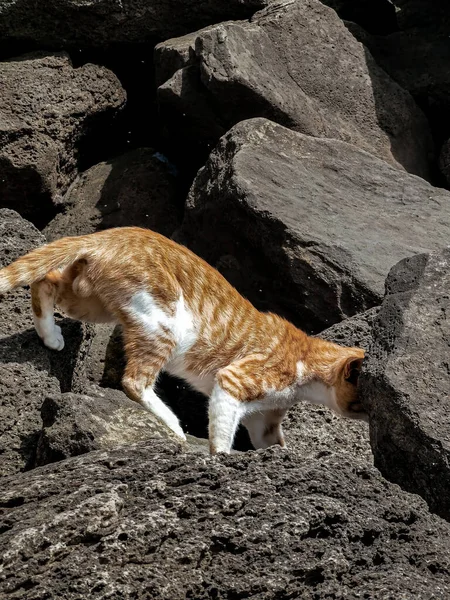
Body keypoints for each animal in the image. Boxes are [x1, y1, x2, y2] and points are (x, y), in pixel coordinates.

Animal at [0, 227, 366, 452]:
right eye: (363, 402)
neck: (306, 362)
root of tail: (109, 234)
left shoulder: (263, 420)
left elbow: (270, 441)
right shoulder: (233, 381)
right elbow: (222, 434)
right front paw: (220, 458)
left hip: (92, 302)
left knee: (44, 282)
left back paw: (51, 336)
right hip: (164, 321)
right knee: (134, 381)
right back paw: (173, 427)